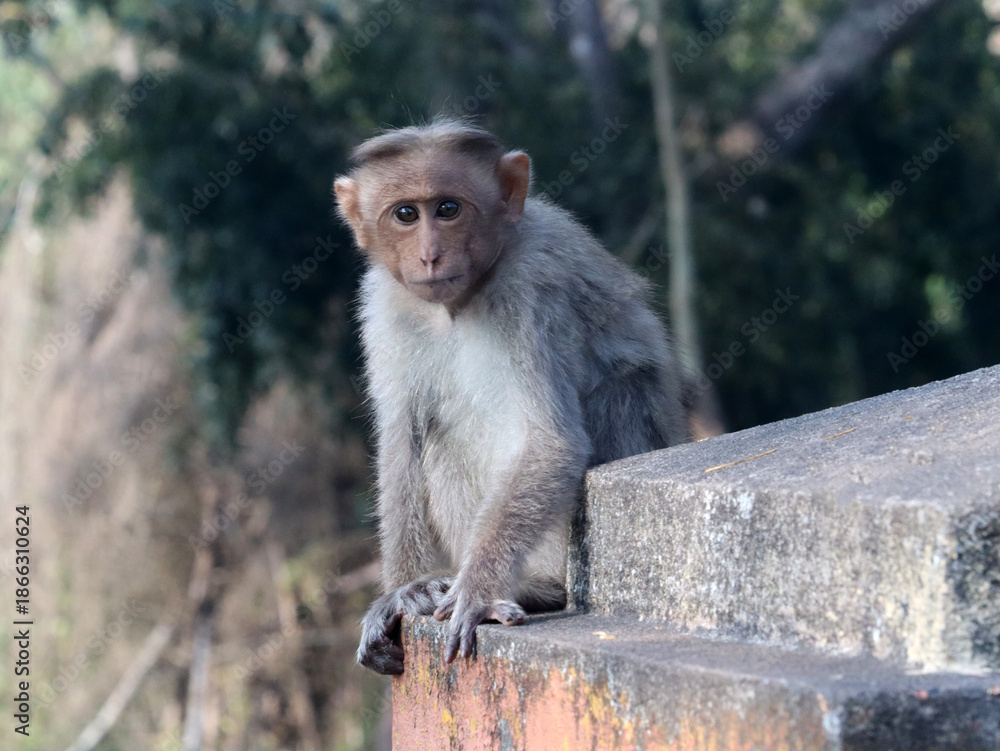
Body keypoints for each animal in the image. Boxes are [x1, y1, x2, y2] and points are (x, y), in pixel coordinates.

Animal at [334, 119, 688, 675]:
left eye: (449, 209)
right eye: (406, 214)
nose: (430, 254)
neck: (458, 303)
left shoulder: (532, 286)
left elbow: (552, 442)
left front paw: (475, 593)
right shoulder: (385, 302)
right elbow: (400, 441)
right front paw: (402, 593)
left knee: (618, 392)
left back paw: (536, 587)